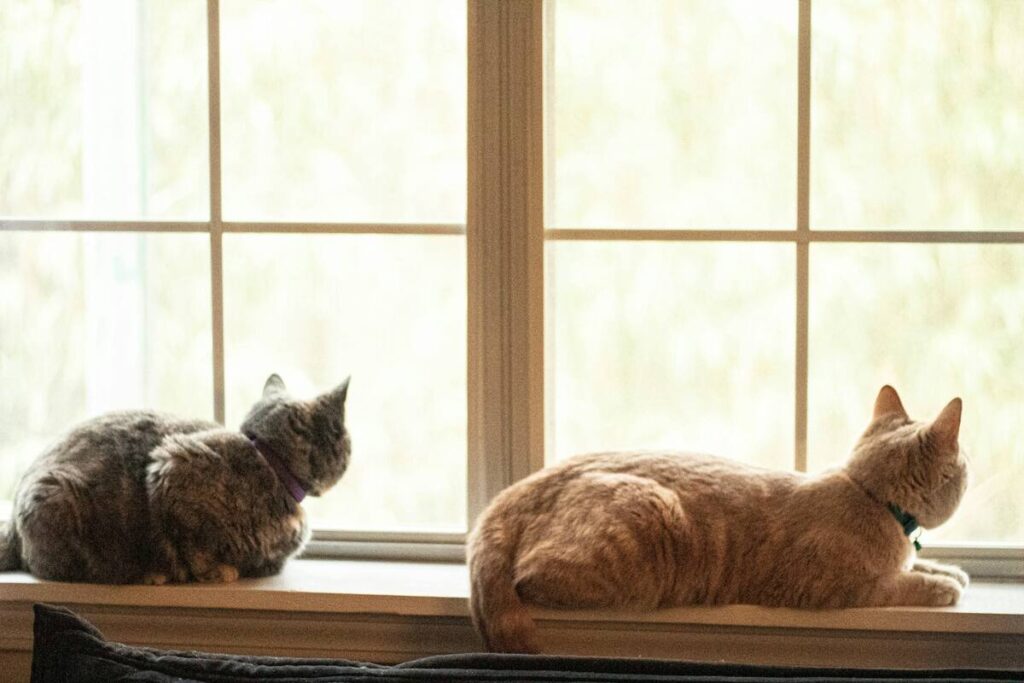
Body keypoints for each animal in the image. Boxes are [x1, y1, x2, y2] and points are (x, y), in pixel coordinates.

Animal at [0, 374, 350, 581]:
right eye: (344, 439)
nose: (350, 450)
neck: (269, 463)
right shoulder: (170, 465)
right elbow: (192, 546)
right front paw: (217, 571)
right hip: (57, 495)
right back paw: (146, 574)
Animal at [468, 387, 970, 655]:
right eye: (965, 463)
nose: (970, 467)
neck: (868, 494)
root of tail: (518, 491)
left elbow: (917, 565)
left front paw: (948, 569)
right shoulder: (831, 588)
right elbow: (899, 583)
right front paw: (941, 585)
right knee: (529, 579)